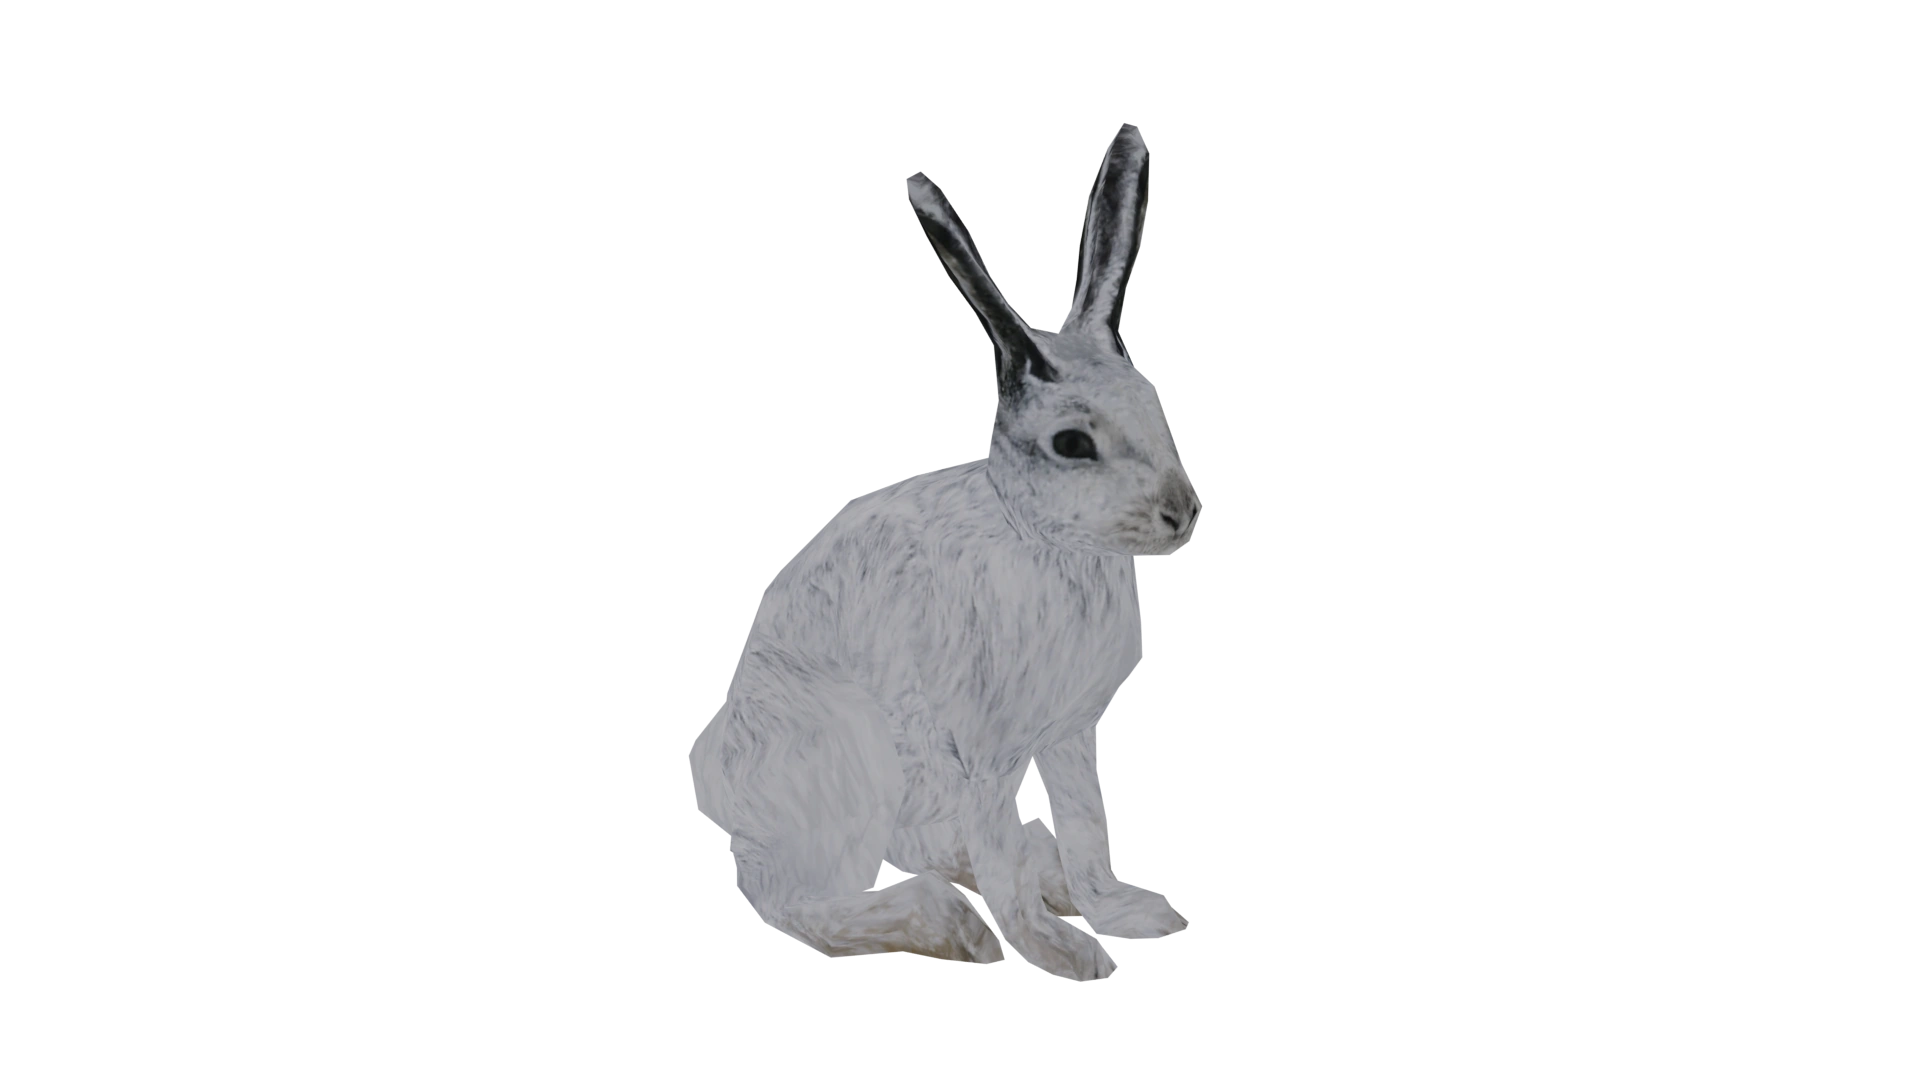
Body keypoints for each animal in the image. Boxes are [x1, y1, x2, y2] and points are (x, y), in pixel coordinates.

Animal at [687, 121, 1197, 983]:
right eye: (1071, 443)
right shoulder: (982, 758)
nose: (1181, 512)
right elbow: (1005, 859)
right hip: (858, 759)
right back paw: (951, 930)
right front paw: (1064, 952)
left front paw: (1127, 913)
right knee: (801, 905)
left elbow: (1087, 833)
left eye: (1155, 406)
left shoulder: (1073, 741)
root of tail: (718, 796)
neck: (1048, 549)